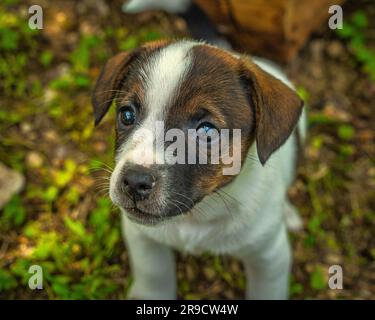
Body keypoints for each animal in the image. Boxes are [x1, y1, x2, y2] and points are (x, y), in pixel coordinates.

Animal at [92, 40, 306, 300]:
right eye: (127, 115)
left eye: (206, 131)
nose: (134, 181)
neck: (197, 216)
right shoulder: (142, 236)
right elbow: (154, 275)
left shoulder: (270, 257)